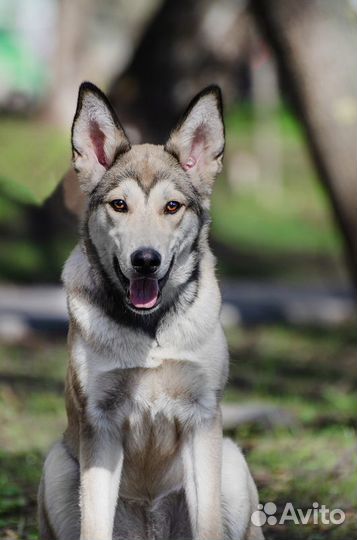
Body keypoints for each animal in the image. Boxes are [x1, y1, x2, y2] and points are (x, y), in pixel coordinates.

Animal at [37, 81, 262, 540]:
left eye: (172, 207)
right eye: (119, 205)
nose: (145, 260)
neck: (151, 331)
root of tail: (150, 525)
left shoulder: (202, 419)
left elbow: (208, 525)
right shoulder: (100, 424)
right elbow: (94, 525)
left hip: (231, 458)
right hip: (57, 466)